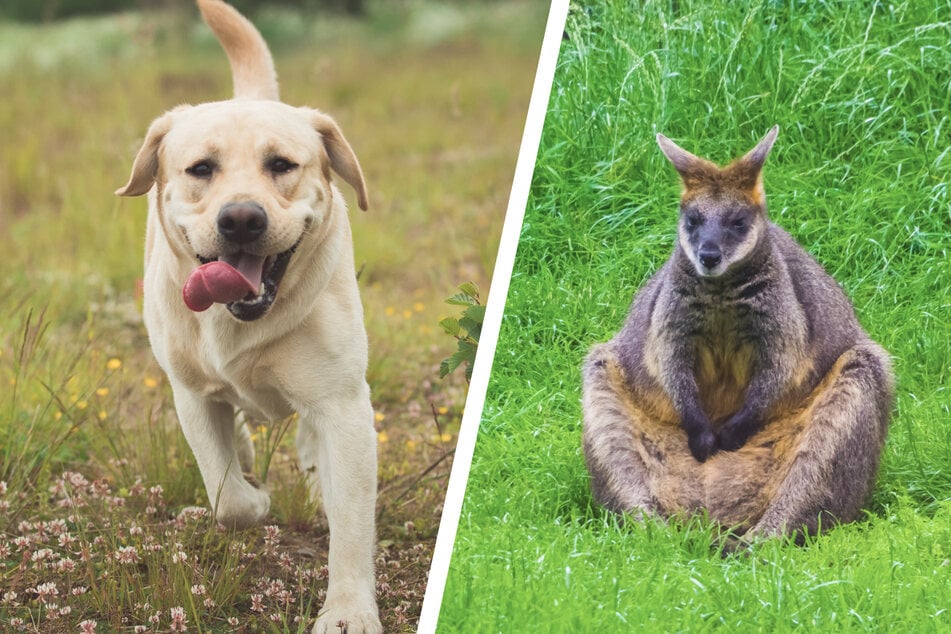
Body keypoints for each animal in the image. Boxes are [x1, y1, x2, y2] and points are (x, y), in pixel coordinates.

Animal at [120, 2, 384, 628]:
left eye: (282, 164)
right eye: (201, 169)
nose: (242, 218)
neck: (243, 318)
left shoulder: (344, 406)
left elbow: (351, 523)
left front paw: (348, 610)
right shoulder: (190, 395)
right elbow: (228, 497)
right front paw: (254, 492)